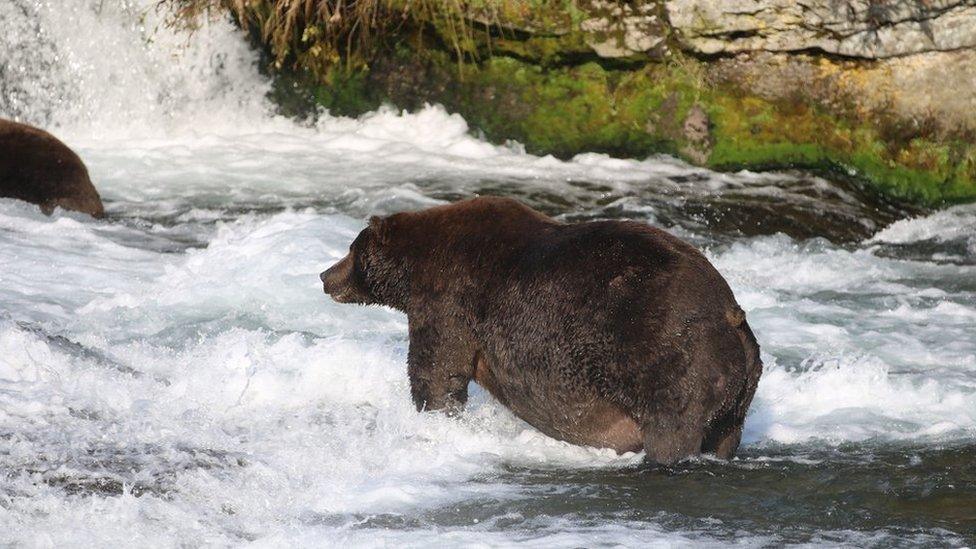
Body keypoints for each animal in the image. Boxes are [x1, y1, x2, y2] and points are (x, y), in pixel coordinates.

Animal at [320, 197, 764, 462]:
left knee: (671, 429)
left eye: (351, 249)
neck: (414, 270)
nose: (325, 275)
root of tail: (731, 315)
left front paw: (434, 417)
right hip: (737, 391)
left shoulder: (449, 298)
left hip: (667, 358)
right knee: (726, 434)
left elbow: (438, 371)